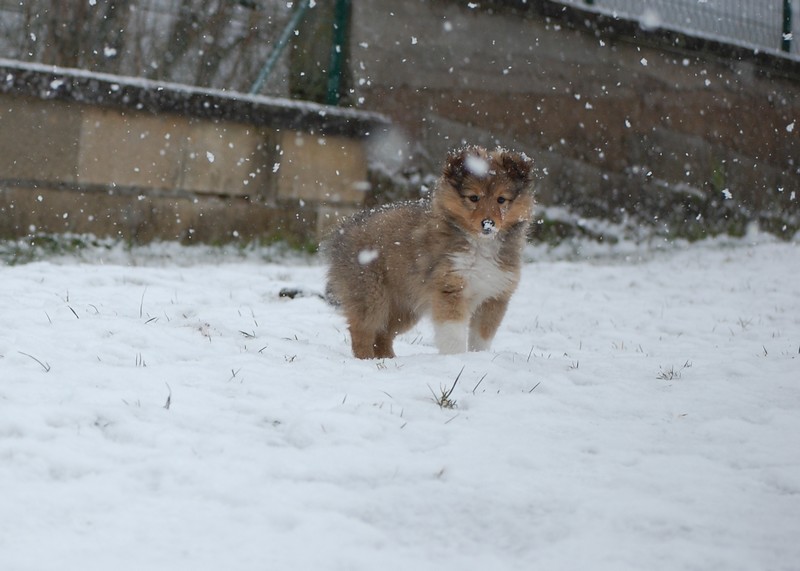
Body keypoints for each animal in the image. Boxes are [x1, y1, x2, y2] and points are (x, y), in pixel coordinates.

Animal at [322, 145, 536, 360]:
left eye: (501, 200)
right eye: (474, 197)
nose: (488, 224)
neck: (480, 244)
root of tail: (343, 230)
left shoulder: (494, 297)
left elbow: (481, 337)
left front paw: (478, 357)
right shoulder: (450, 289)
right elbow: (454, 334)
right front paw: (455, 359)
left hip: (405, 306)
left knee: (383, 335)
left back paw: (389, 360)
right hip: (372, 295)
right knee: (362, 330)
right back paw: (366, 360)